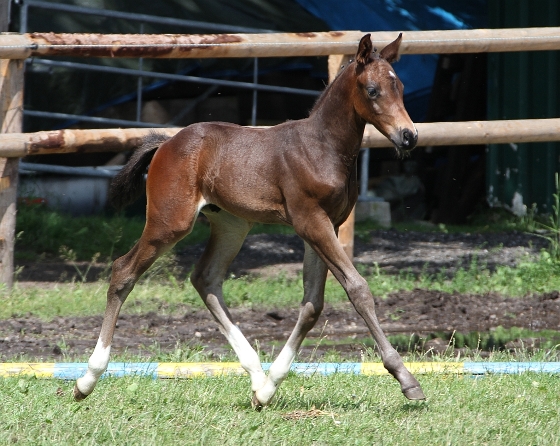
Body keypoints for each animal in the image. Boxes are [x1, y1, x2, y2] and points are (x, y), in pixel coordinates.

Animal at [75, 33, 424, 406]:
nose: (409, 136)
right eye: (372, 90)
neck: (323, 147)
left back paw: (257, 377)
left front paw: (270, 387)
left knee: (206, 278)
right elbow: (357, 288)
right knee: (123, 271)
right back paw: (86, 380)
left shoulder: (327, 224)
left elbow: (312, 304)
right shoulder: (310, 221)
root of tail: (167, 142)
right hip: (169, 223)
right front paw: (406, 379)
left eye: (401, 87)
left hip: (231, 225)